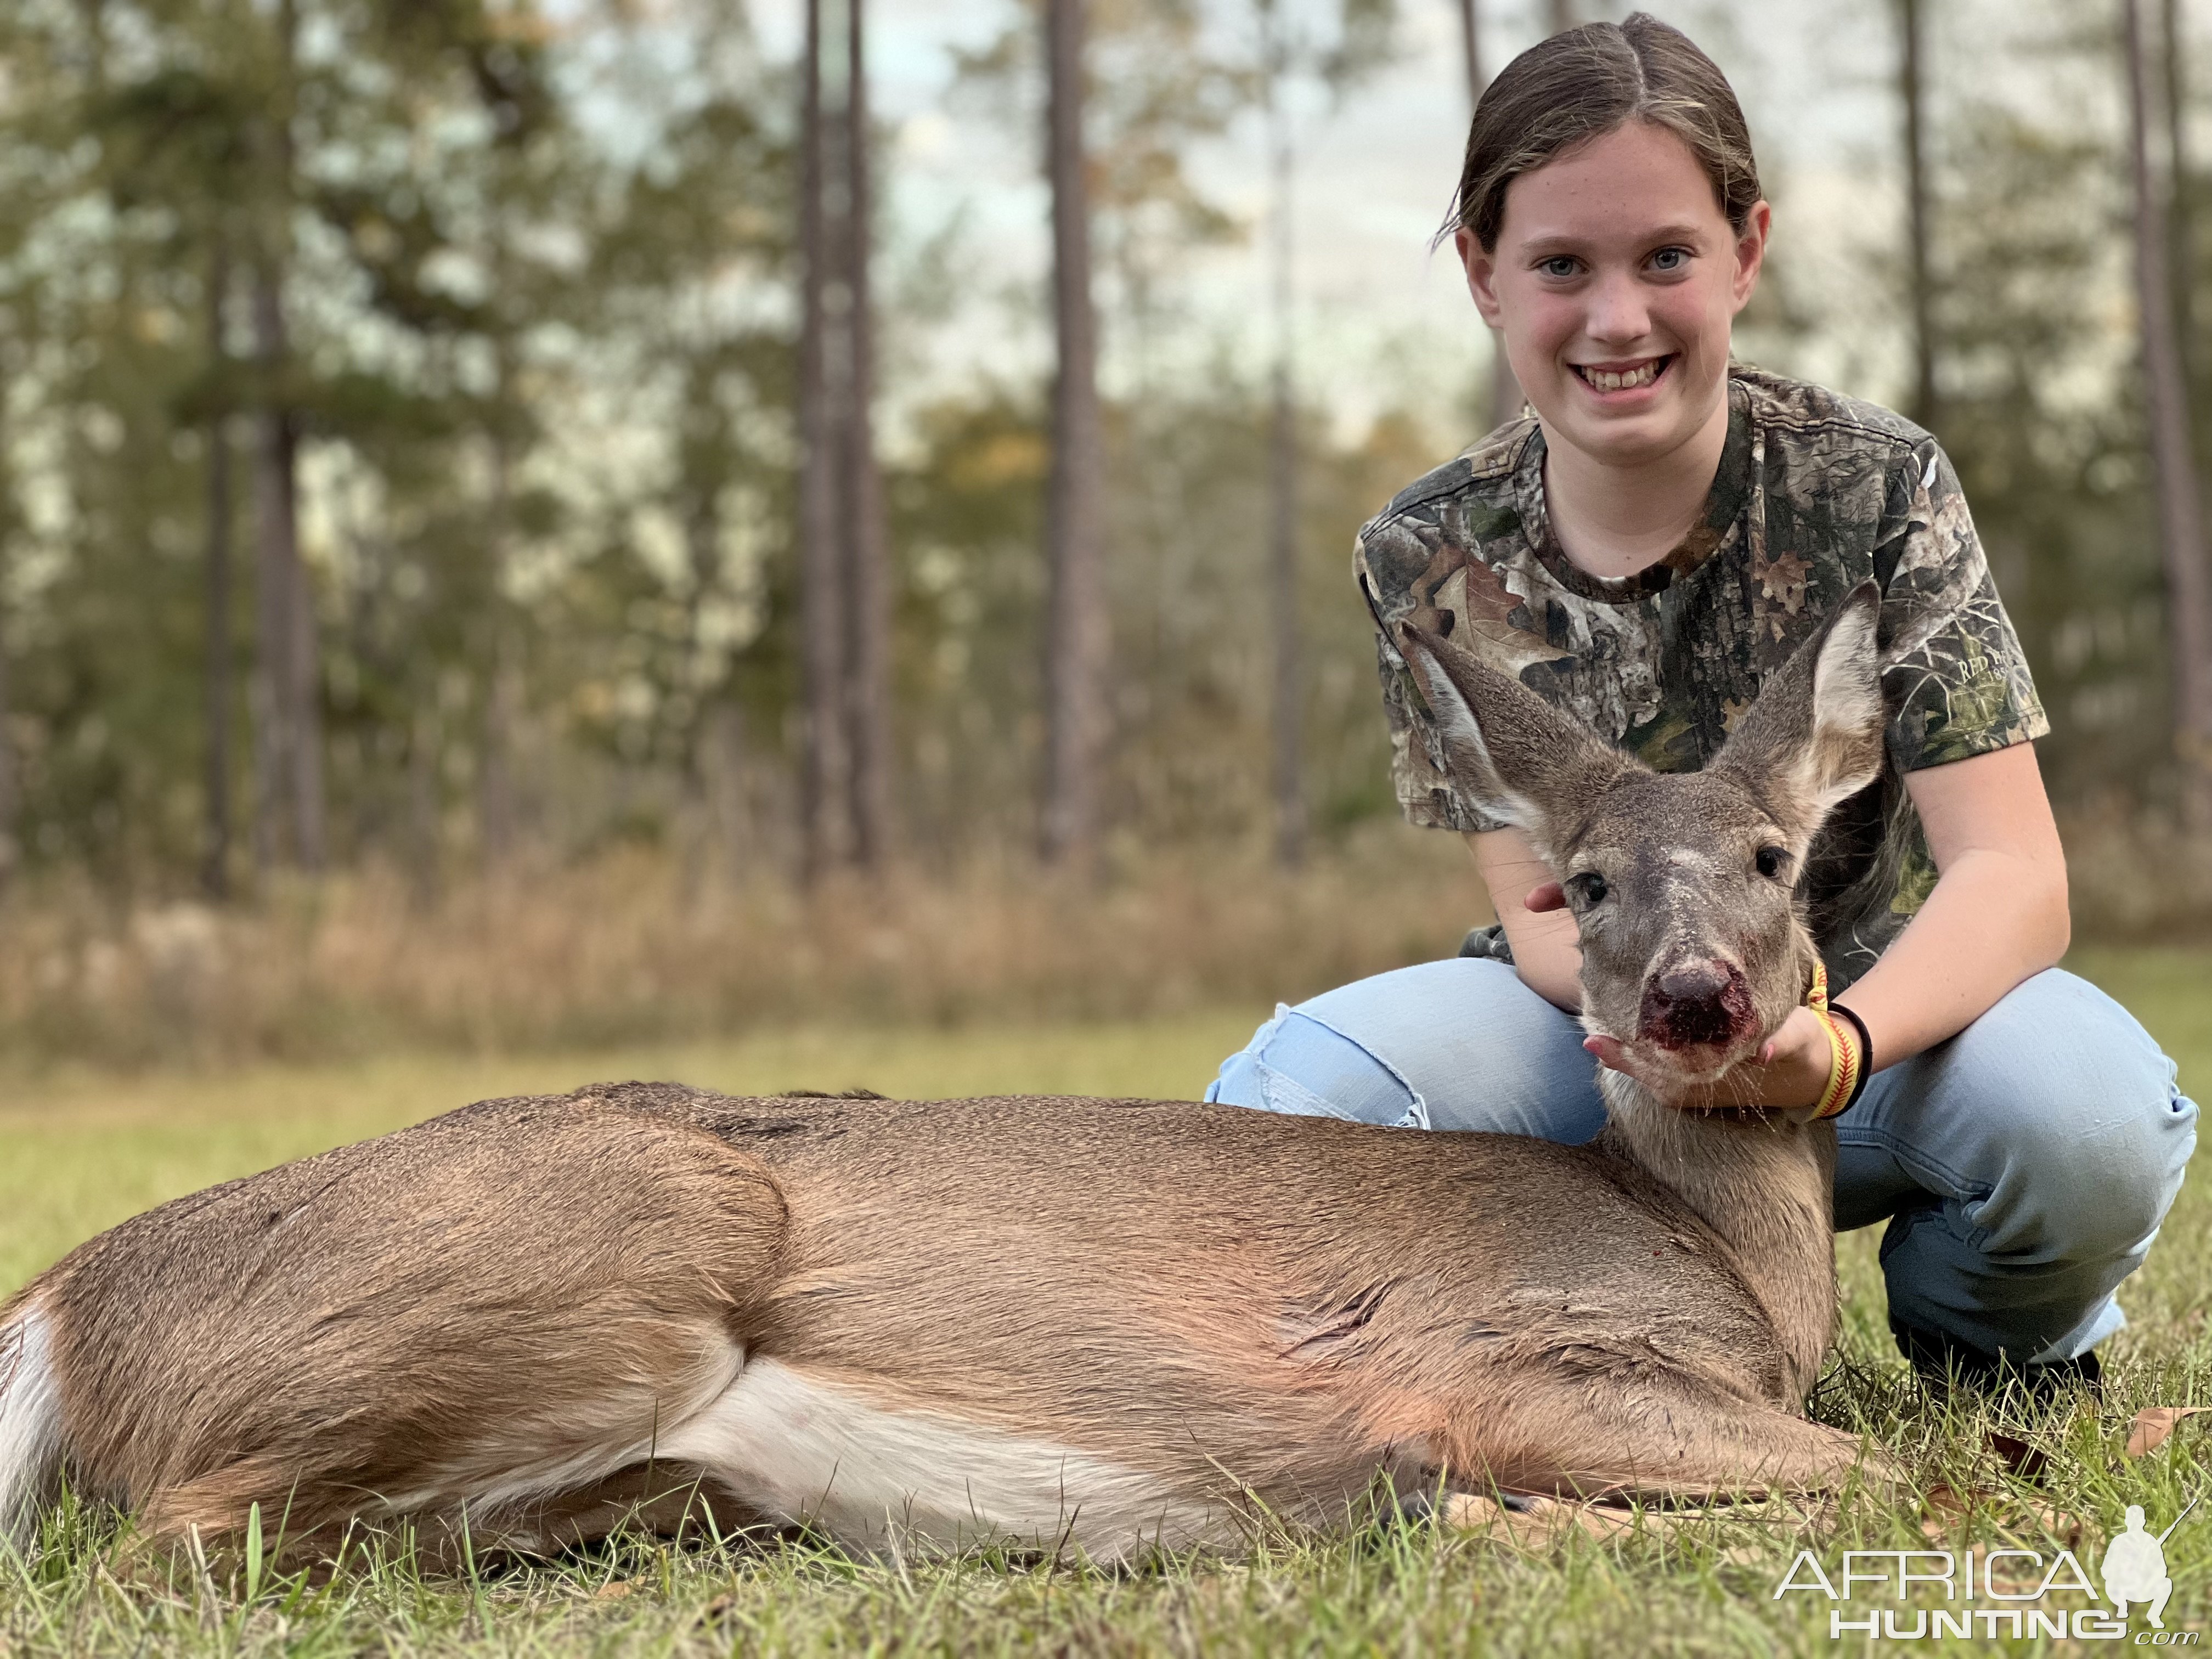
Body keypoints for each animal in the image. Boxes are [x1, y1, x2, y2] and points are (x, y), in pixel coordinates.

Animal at [0, 588, 1893, 1575]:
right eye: (1584, 883)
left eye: (1776, 858)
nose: (1698, 999)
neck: (1733, 1273)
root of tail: (68, 1293)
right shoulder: (1502, 1357)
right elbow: (1890, 1478)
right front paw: (1476, 1517)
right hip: (641, 1230)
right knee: (174, 1540)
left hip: (615, 1466)